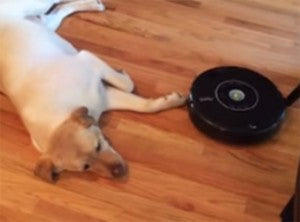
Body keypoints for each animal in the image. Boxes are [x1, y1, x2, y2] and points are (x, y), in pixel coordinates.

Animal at [0, 0, 186, 182]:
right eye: (86, 167)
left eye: (98, 146)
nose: (119, 172)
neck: (59, 119)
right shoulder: (106, 97)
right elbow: (144, 105)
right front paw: (172, 99)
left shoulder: (88, 60)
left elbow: (128, 85)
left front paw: (124, 74)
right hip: (45, 23)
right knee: (60, 10)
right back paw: (94, 5)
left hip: (35, 6)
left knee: (56, 4)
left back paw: (95, 5)